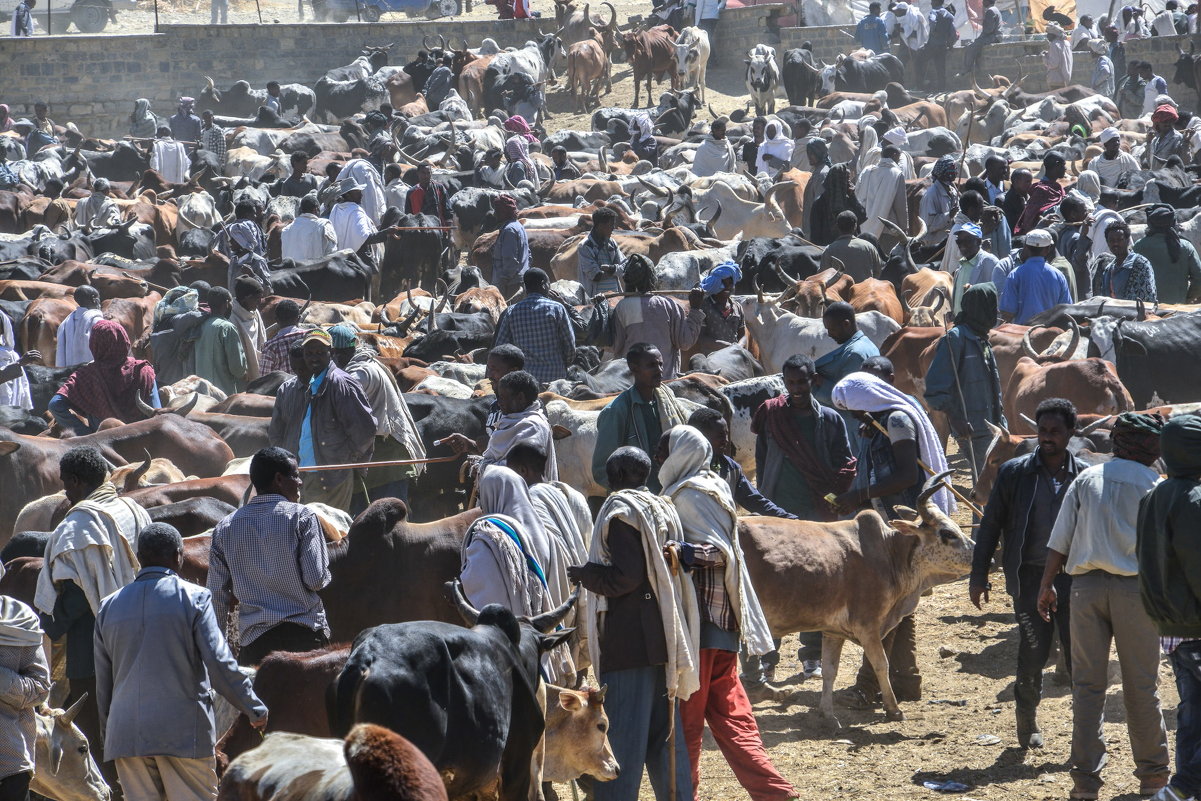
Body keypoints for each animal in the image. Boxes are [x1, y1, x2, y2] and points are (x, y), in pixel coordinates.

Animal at [739, 473, 975, 725]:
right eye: (947, 533)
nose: (982, 555)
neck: (889, 553)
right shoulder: (867, 625)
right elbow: (881, 663)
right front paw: (894, 710)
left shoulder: (832, 630)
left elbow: (830, 670)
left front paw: (828, 714)